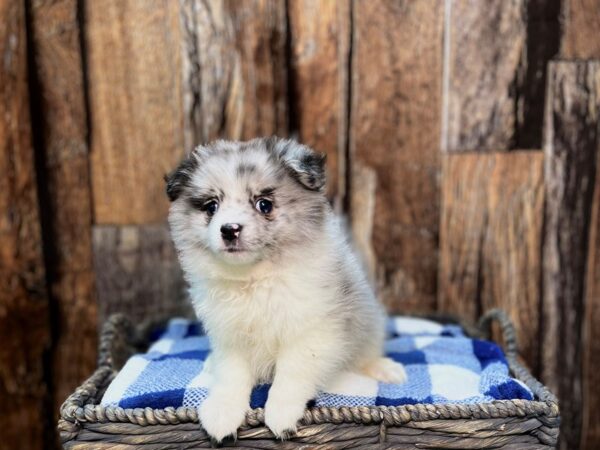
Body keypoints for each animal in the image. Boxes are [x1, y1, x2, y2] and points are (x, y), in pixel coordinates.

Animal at [166, 137, 406, 442]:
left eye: (264, 204)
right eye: (211, 207)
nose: (229, 229)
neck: (255, 279)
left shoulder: (309, 331)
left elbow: (291, 374)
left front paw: (280, 413)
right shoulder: (230, 335)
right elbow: (231, 374)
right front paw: (222, 411)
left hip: (367, 322)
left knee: (366, 352)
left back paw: (385, 369)